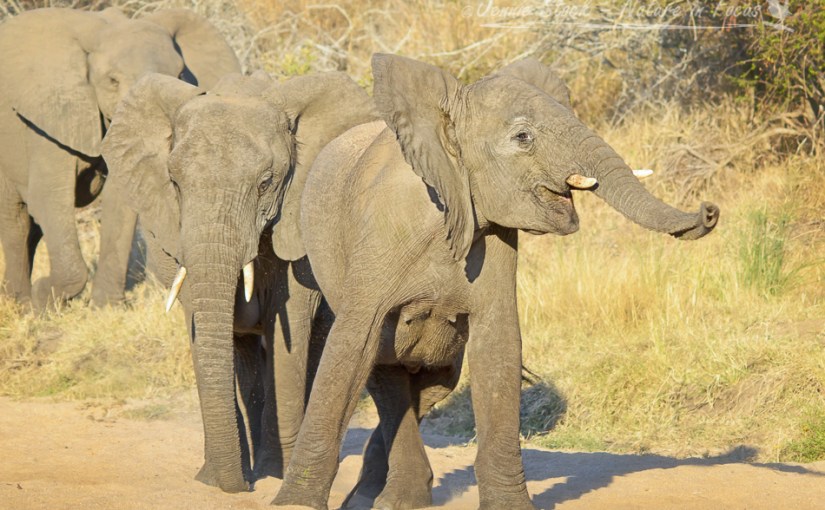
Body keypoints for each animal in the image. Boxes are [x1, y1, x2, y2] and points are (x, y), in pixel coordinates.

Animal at [0, 7, 240, 310]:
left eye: (181, 75)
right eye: (112, 82)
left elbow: (121, 201)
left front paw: (105, 308)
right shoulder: (48, 119)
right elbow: (47, 195)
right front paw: (44, 298)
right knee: (16, 218)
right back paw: (18, 303)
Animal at [99, 70, 377, 492]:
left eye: (266, 183)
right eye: (174, 183)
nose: (236, 487)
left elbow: (289, 331)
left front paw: (275, 474)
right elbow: (202, 324)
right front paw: (214, 478)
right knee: (245, 359)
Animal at [273, 54, 720, 509]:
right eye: (523, 137)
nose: (710, 210)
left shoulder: (498, 243)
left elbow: (499, 347)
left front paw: (510, 505)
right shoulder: (380, 235)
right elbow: (352, 346)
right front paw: (293, 503)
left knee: (430, 384)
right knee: (385, 374)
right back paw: (387, 499)